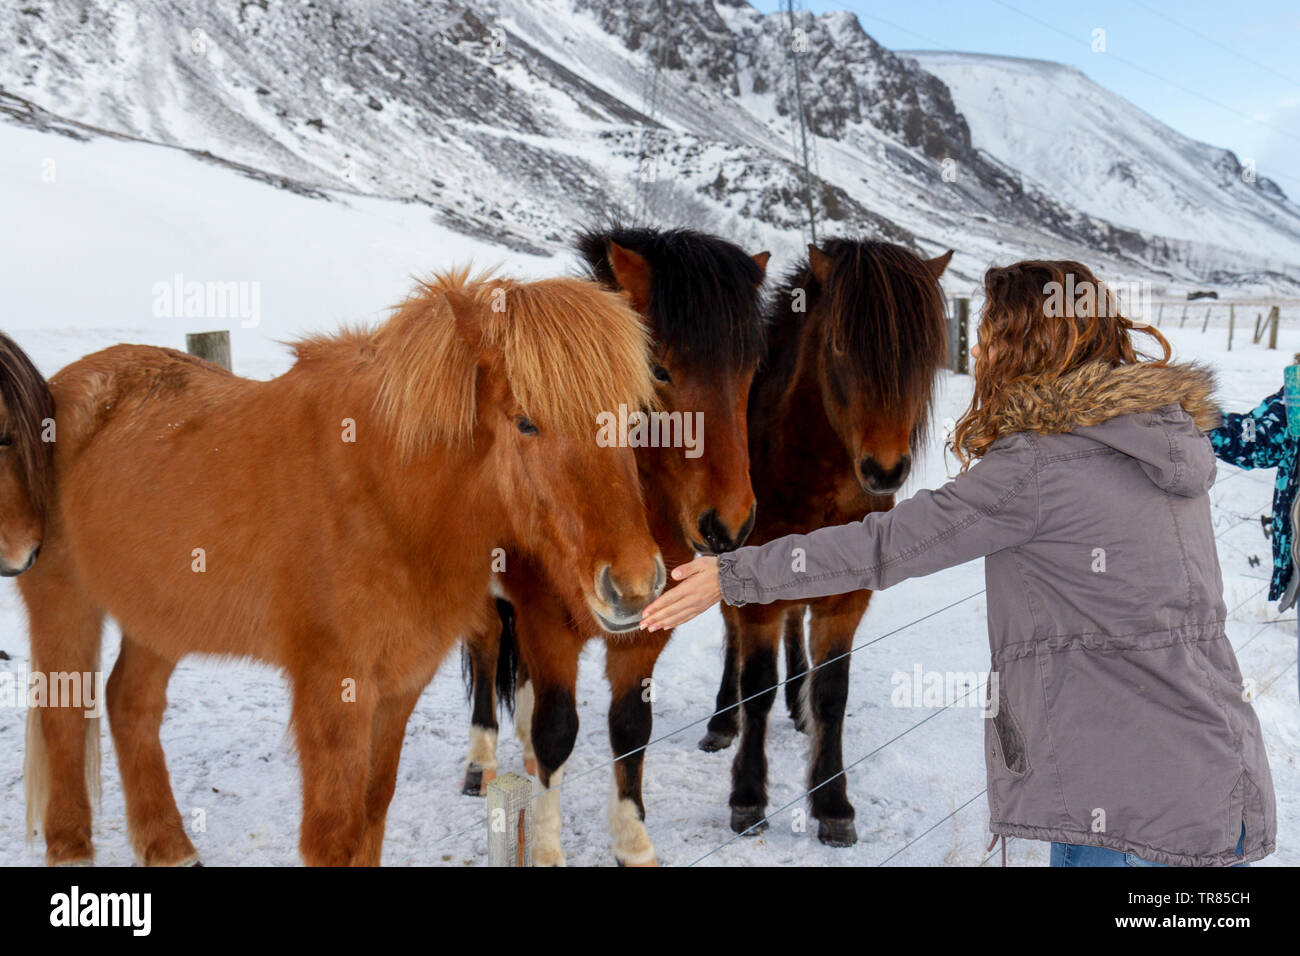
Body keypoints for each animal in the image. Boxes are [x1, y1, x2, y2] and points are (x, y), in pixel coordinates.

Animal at [19, 269, 667, 866]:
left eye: (633, 419)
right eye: (526, 421)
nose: (635, 586)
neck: (383, 496)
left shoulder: (398, 688)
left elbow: (371, 813)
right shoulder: (333, 693)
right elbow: (332, 833)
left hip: (158, 620)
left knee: (130, 705)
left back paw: (169, 847)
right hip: (64, 604)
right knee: (63, 716)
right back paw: (71, 849)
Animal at [459, 226, 769, 865]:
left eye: (751, 367)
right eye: (659, 370)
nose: (729, 524)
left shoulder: (646, 629)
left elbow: (630, 727)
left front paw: (632, 839)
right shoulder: (545, 621)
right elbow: (557, 729)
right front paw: (546, 847)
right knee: (485, 651)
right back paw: (482, 761)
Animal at [701, 239, 951, 846]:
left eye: (923, 354)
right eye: (840, 344)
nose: (883, 470)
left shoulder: (847, 598)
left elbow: (832, 691)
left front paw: (834, 801)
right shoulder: (755, 593)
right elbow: (756, 683)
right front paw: (748, 797)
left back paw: (797, 703)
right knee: (734, 642)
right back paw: (722, 720)